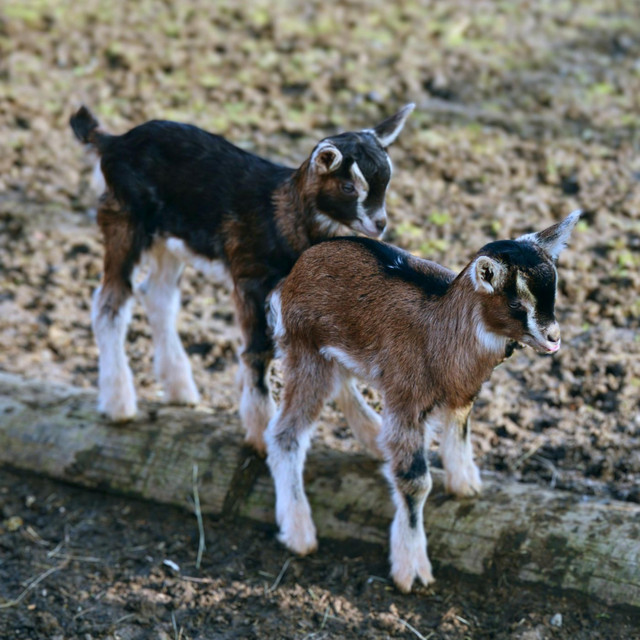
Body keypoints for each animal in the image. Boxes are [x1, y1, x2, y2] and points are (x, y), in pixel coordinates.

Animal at [69, 103, 414, 453]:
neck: (282, 216)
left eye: (385, 182)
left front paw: (371, 434)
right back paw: (119, 403)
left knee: (157, 296)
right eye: (348, 187)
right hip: (124, 220)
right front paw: (261, 431)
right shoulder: (251, 279)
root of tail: (113, 142)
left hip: (170, 239)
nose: (379, 224)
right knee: (110, 303)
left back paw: (180, 388)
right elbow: (258, 350)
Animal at [265, 210, 581, 592]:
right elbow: (415, 481)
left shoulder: (461, 393)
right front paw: (412, 569)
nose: (553, 338)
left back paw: (374, 439)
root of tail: (293, 274)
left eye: (554, 293)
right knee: (285, 434)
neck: (440, 330)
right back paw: (299, 532)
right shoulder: (407, 401)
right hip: (305, 349)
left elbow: (459, 432)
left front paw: (465, 486)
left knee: (341, 384)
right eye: (516, 302)